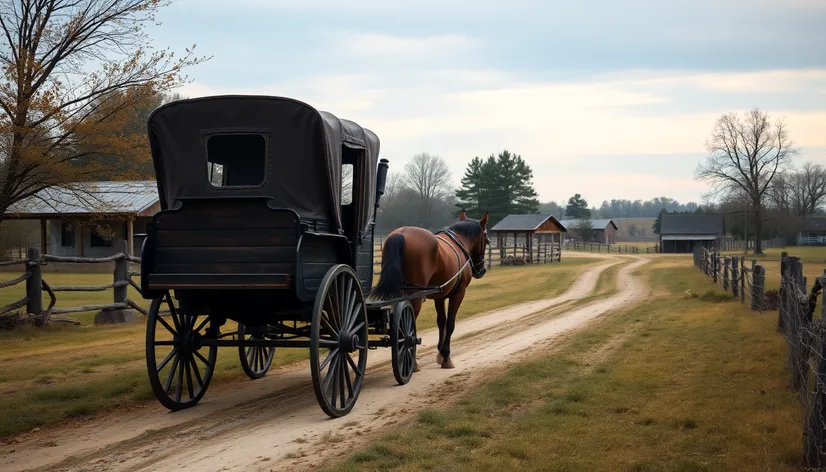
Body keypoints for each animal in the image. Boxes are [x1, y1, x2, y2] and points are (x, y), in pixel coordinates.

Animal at [368, 210, 490, 368]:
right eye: (486, 241)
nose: (481, 270)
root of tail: (401, 233)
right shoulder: (458, 293)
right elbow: (450, 323)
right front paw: (446, 356)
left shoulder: (440, 296)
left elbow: (441, 321)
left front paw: (440, 354)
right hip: (415, 297)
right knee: (408, 326)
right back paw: (412, 363)